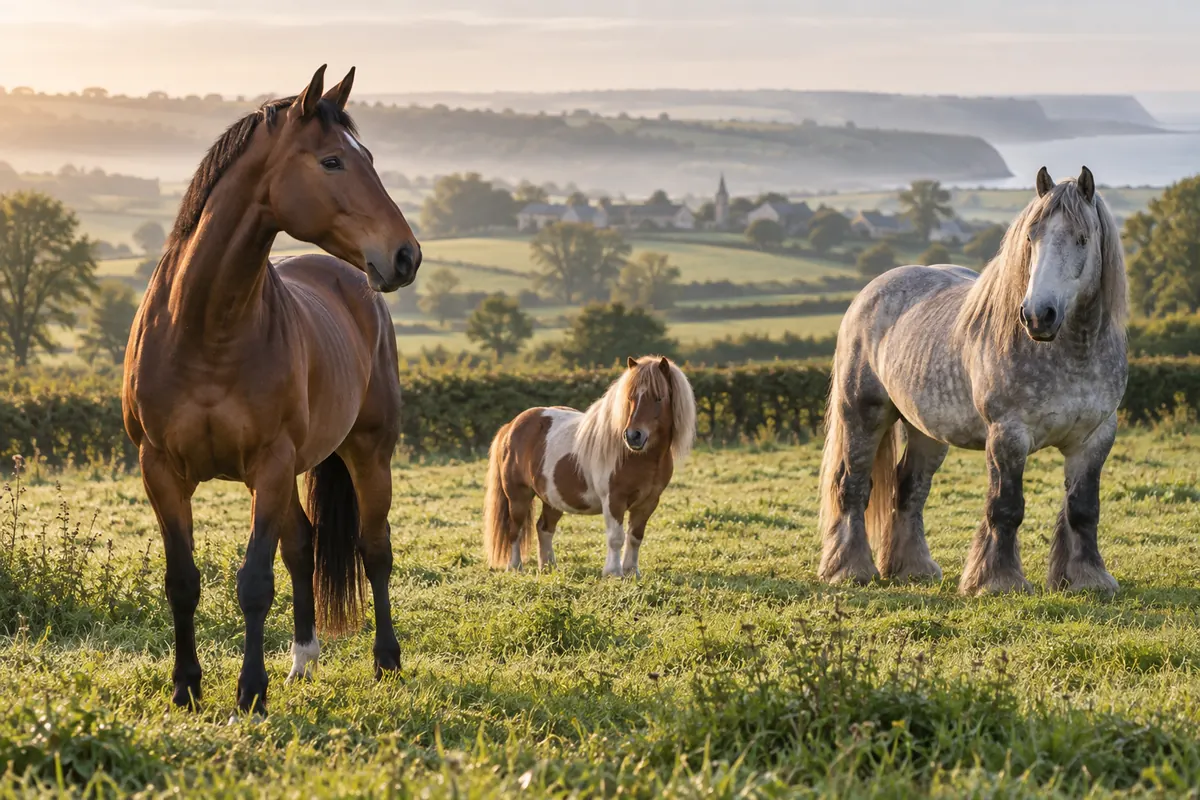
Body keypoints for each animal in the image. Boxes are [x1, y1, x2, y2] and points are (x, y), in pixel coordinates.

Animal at [122, 65, 421, 714]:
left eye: (367, 157)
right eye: (332, 161)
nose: (406, 256)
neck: (205, 327)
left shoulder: (271, 463)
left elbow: (255, 582)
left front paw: (249, 693)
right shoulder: (160, 470)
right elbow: (182, 581)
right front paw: (186, 687)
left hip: (368, 453)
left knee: (374, 549)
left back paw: (386, 659)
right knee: (303, 547)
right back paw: (302, 660)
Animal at [482, 356, 696, 577]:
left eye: (659, 398)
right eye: (630, 398)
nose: (633, 436)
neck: (640, 457)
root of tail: (511, 426)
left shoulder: (648, 502)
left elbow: (635, 537)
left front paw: (631, 572)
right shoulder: (613, 500)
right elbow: (616, 537)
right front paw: (613, 573)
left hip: (553, 498)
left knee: (544, 527)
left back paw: (549, 566)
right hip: (518, 496)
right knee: (515, 529)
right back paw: (515, 567)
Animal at [818, 166, 1127, 596]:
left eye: (1082, 239)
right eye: (1031, 237)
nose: (1038, 315)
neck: (1070, 355)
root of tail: (869, 292)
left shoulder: (1094, 438)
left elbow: (1082, 509)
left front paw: (1087, 579)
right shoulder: (1008, 436)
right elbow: (1006, 508)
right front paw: (997, 581)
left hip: (926, 431)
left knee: (910, 488)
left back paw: (912, 568)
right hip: (862, 415)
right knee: (853, 487)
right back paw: (849, 570)